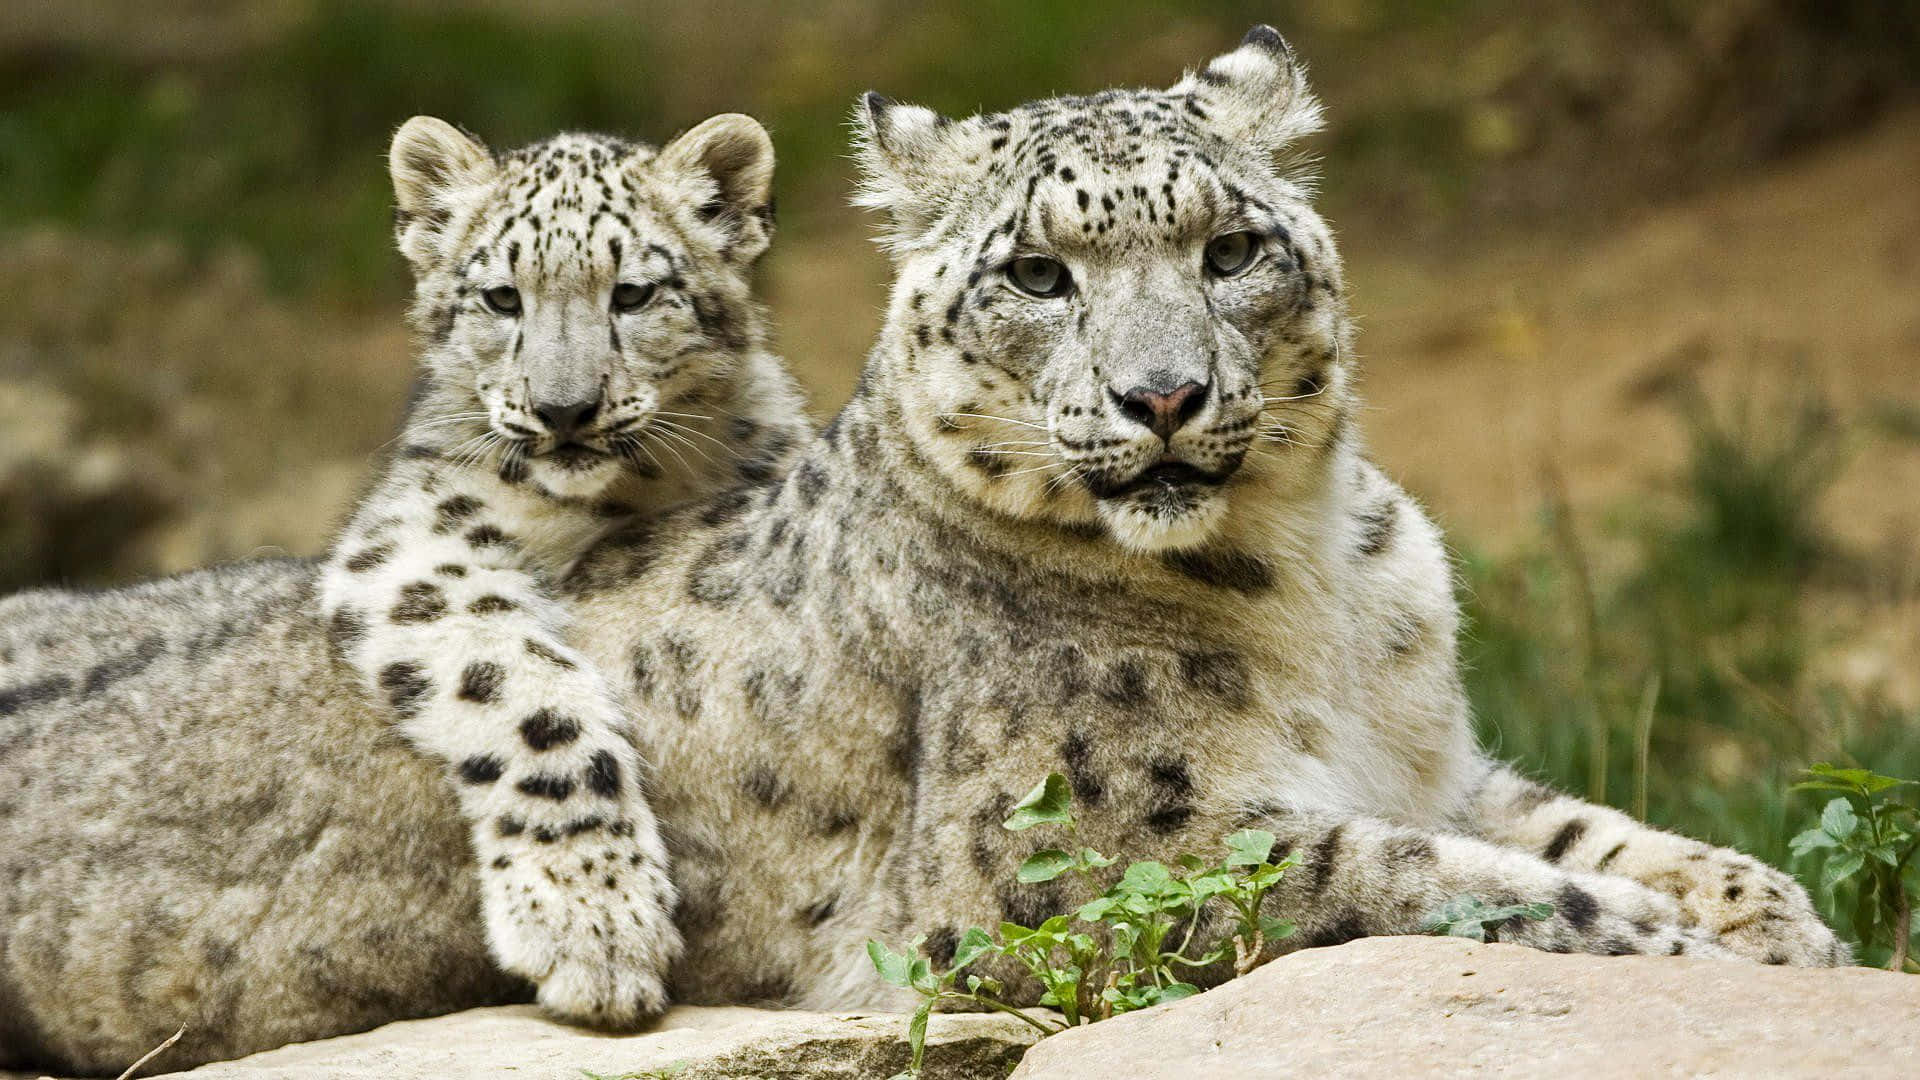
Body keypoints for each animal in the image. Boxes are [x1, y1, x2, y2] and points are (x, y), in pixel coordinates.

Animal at [0, 27, 1843, 1077]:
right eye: (1038, 273)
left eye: (1231, 247)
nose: (1163, 394)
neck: (1316, 578)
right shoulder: (1084, 870)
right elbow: (1415, 881)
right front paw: (1667, 951)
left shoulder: (1438, 759)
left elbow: (1595, 833)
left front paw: (1784, 930)